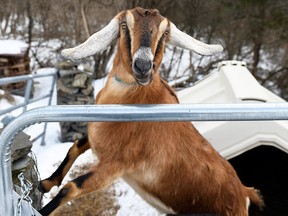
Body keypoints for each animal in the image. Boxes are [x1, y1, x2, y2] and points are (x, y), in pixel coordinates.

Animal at [38, 7, 264, 216]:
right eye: (124, 25)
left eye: (164, 33)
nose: (143, 66)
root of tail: (244, 193)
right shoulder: (95, 139)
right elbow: (75, 147)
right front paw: (45, 183)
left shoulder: (115, 165)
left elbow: (71, 188)